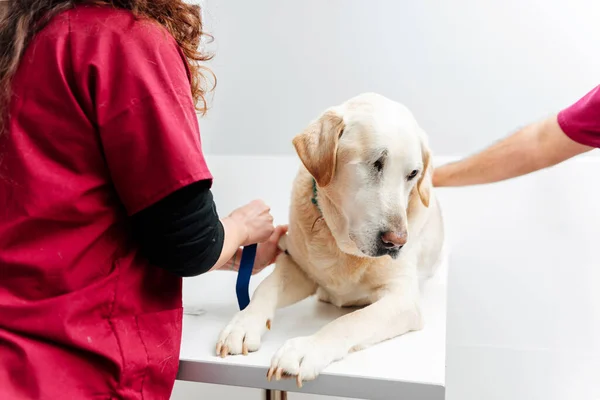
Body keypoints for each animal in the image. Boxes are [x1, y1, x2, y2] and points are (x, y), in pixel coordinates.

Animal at [213, 92, 442, 386]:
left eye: (413, 174)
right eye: (376, 163)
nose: (397, 242)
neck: (345, 248)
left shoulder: (402, 298)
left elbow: (351, 321)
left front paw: (305, 349)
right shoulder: (296, 266)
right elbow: (265, 288)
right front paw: (242, 324)